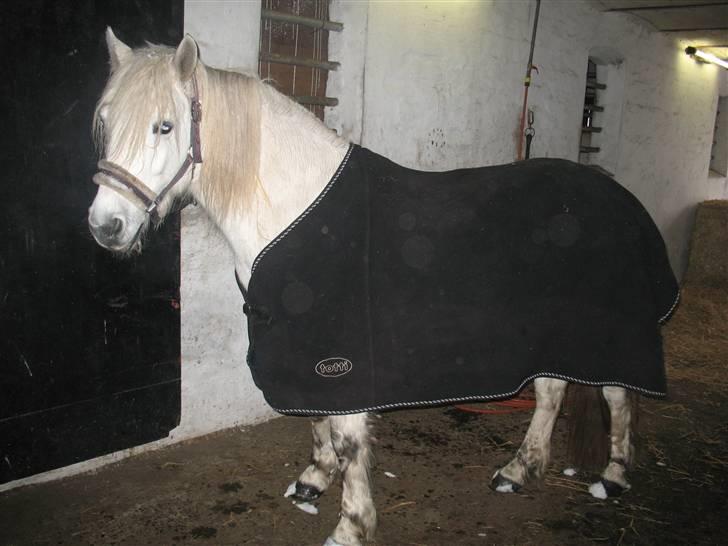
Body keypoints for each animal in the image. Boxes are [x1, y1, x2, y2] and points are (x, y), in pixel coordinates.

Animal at [87, 29, 679, 546]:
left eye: (165, 127)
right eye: (106, 122)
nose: (106, 225)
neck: (291, 208)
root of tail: (618, 196)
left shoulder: (341, 356)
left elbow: (349, 441)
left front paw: (351, 525)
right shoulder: (308, 353)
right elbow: (318, 422)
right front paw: (313, 480)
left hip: (610, 333)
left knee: (617, 395)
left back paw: (613, 477)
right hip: (551, 331)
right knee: (552, 392)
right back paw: (518, 469)